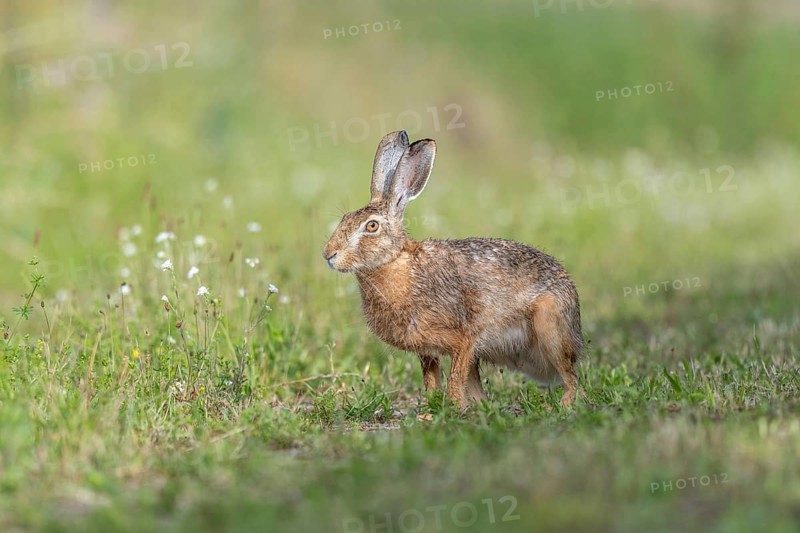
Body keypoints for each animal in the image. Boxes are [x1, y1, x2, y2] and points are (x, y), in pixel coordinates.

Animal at [323, 130, 584, 408]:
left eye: (371, 226)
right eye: (344, 219)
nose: (329, 254)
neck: (397, 264)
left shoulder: (463, 339)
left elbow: (455, 380)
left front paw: (454, 407)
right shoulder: (427, 350)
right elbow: (431, 380)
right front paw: (429, 410)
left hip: (550, 326)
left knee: (571, 377)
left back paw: (564, 405)